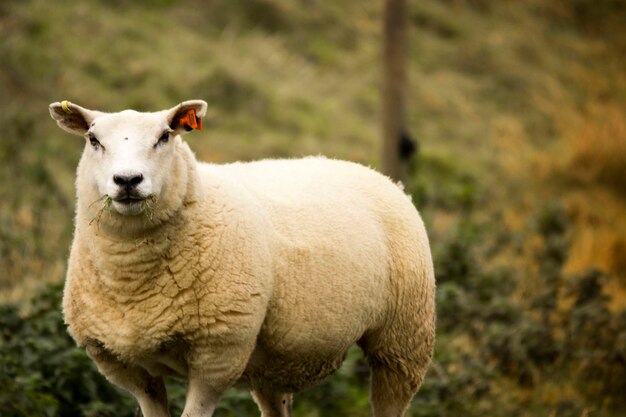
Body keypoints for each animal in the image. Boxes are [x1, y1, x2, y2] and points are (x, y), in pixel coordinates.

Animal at [47, 100, 434, 416]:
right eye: (93, 139)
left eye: (165, 136)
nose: (128, 180)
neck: (133, 280)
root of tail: (373, 172)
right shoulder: (125, 366)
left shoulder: (218, 354)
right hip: (276, 362)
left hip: (404, 339)